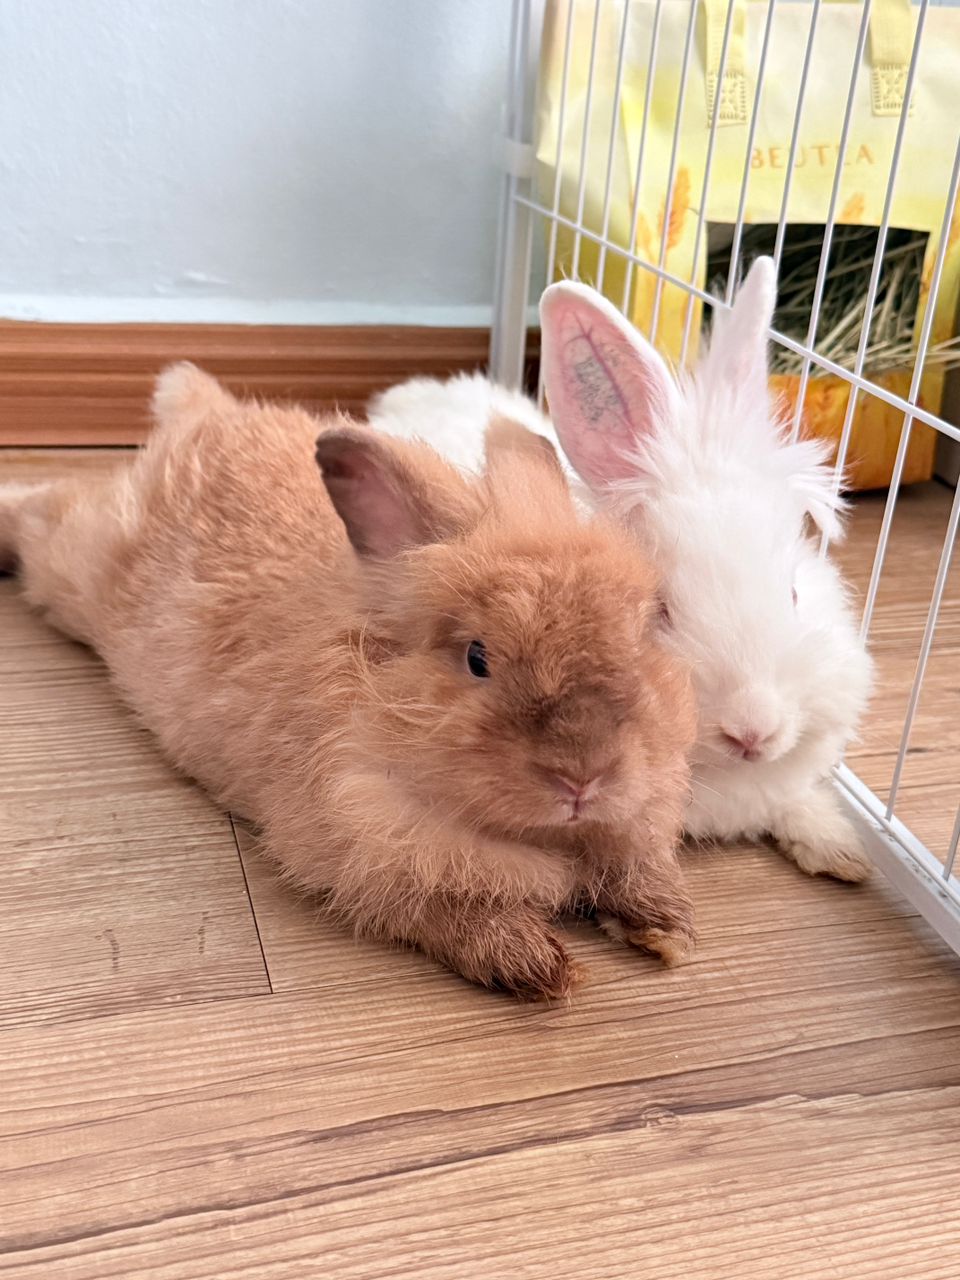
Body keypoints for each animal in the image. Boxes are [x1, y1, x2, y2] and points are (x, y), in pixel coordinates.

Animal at [0, 364, 698, 999]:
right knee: (39, 509)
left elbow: (632, 874)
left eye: (646, 628)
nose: (584, 776)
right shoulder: (365, 855)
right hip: (71, 556)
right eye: (478, 657)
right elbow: (452, 913)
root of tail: (204, 408)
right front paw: (538, 964)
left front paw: (669, 927)